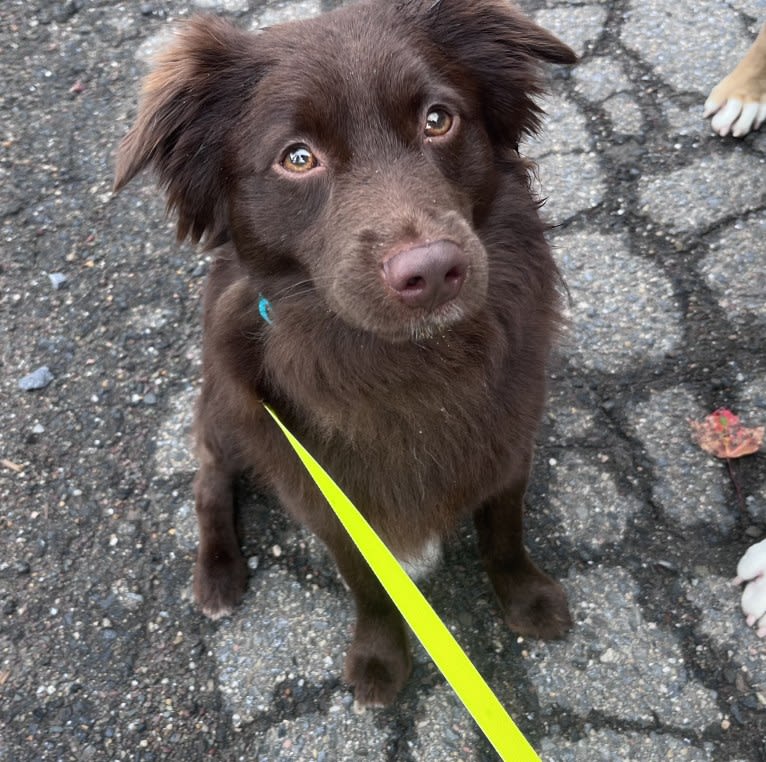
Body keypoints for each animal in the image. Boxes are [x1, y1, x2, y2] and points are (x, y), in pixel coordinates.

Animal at [115, 0, 576, 704]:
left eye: (437, 120)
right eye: (298, 157)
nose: (432, 271)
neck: (407, 365)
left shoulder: (508, 449)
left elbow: (505, 533)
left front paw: (526, 599)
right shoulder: (328, 501)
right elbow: (369, 586)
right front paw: (381, 658)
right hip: (224, 406)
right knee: (208, 478)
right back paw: (217, 573)